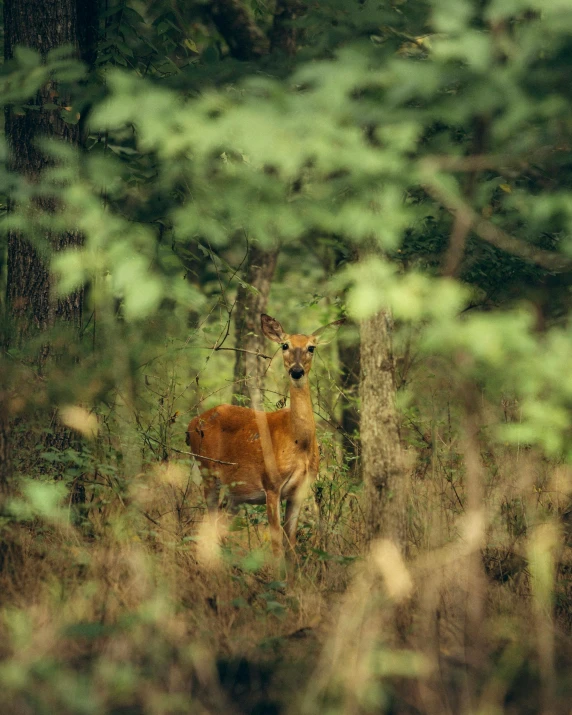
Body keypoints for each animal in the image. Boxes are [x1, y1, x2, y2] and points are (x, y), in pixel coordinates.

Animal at [187, 314, 344, 560]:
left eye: (311, 347)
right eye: (285, 345)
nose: (296, 371)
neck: (298, 442)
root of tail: (191, 424)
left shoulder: (300, 490)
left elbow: (291, 543)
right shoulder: (271, 484)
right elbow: (277, 544)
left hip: (236, 493)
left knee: (220, 525)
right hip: (207, 471)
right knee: (209, 524)